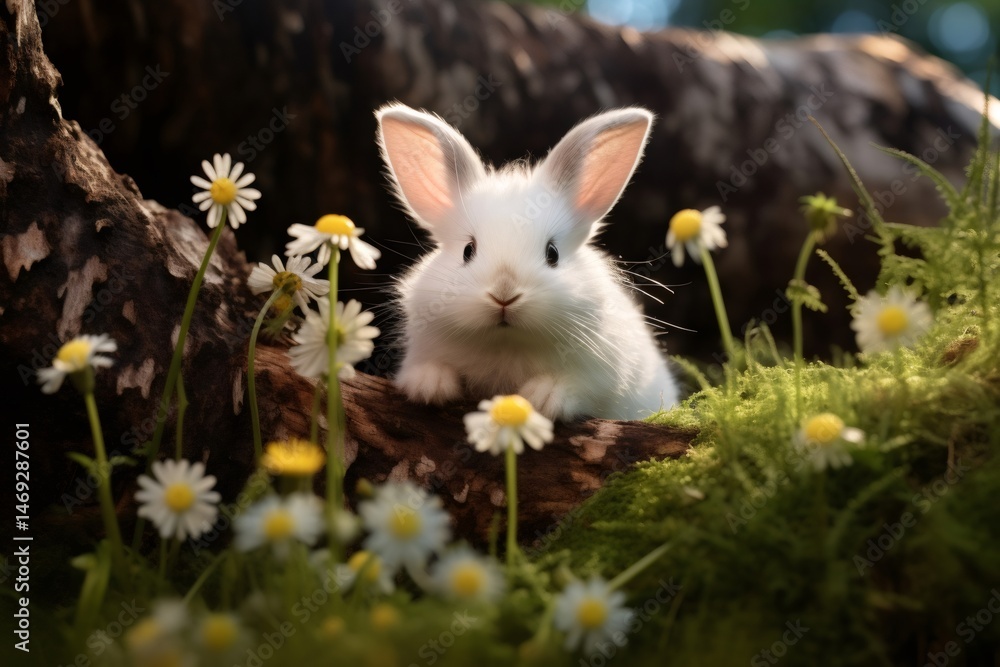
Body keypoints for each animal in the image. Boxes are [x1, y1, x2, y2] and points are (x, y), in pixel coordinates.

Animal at [375, 102, 680, 421]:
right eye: (468, 250)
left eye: (552, 253)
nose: (504, 294)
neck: (507, 344)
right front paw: (430, 385)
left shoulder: (602, 374)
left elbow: (579, 386)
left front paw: (544, 396)